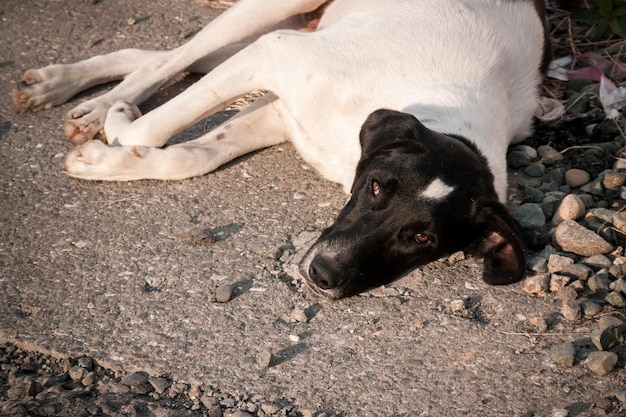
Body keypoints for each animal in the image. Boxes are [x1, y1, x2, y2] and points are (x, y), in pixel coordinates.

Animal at [13, 0, 544, 300]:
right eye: (376, 188)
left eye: (421, 238)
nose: (323, 275)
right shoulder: (278, 55)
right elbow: (153, 128)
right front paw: (116, 137)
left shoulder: (279, 112)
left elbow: (194, 154)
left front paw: (113, 153)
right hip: (269, 16)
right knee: (168, 62)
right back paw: (91, 103)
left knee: (159, 58)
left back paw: (71, 91)